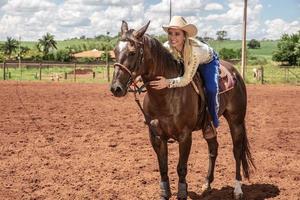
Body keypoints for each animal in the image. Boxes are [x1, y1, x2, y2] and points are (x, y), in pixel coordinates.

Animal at [109, 20, 254, 200]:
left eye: (132, 52)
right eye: (115, 51)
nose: (116, 88)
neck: (166, 96)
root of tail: (235, 73)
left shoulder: (185, 136)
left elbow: (181, 167)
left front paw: (182, 192)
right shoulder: (156, 136)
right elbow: (163, 167)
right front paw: (165, 193)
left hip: (236, 121)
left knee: (237, 151)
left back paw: (238, 189)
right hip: (210, 127)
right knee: (213, 148)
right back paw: (207, 184)